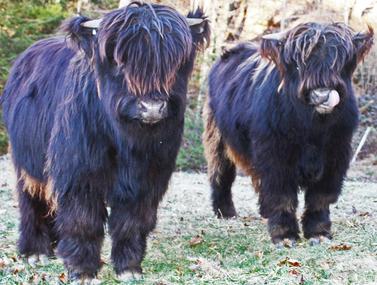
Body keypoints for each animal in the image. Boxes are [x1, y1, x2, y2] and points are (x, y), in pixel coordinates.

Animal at [0, 1, 209, 282]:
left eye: (176, 63)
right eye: (120, 61)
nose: (152, 107)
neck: (128, 141)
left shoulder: (148, 178)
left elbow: (132, 221)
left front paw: (129, 268)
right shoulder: (79, 174)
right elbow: (83, 220)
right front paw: (82, 270)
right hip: (26, 162)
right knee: (31, 199)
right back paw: (35, 252)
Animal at [203, 22, 370, 244]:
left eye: (341, 62)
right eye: (298, 65)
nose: (322, 95)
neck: (313, 129)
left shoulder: (336, 154)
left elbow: (320, 196)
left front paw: (319, 232)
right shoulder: (275, 155)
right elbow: (281, 195)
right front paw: (284, 236)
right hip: (218, 138)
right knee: (221, 172)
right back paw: (225, 212)